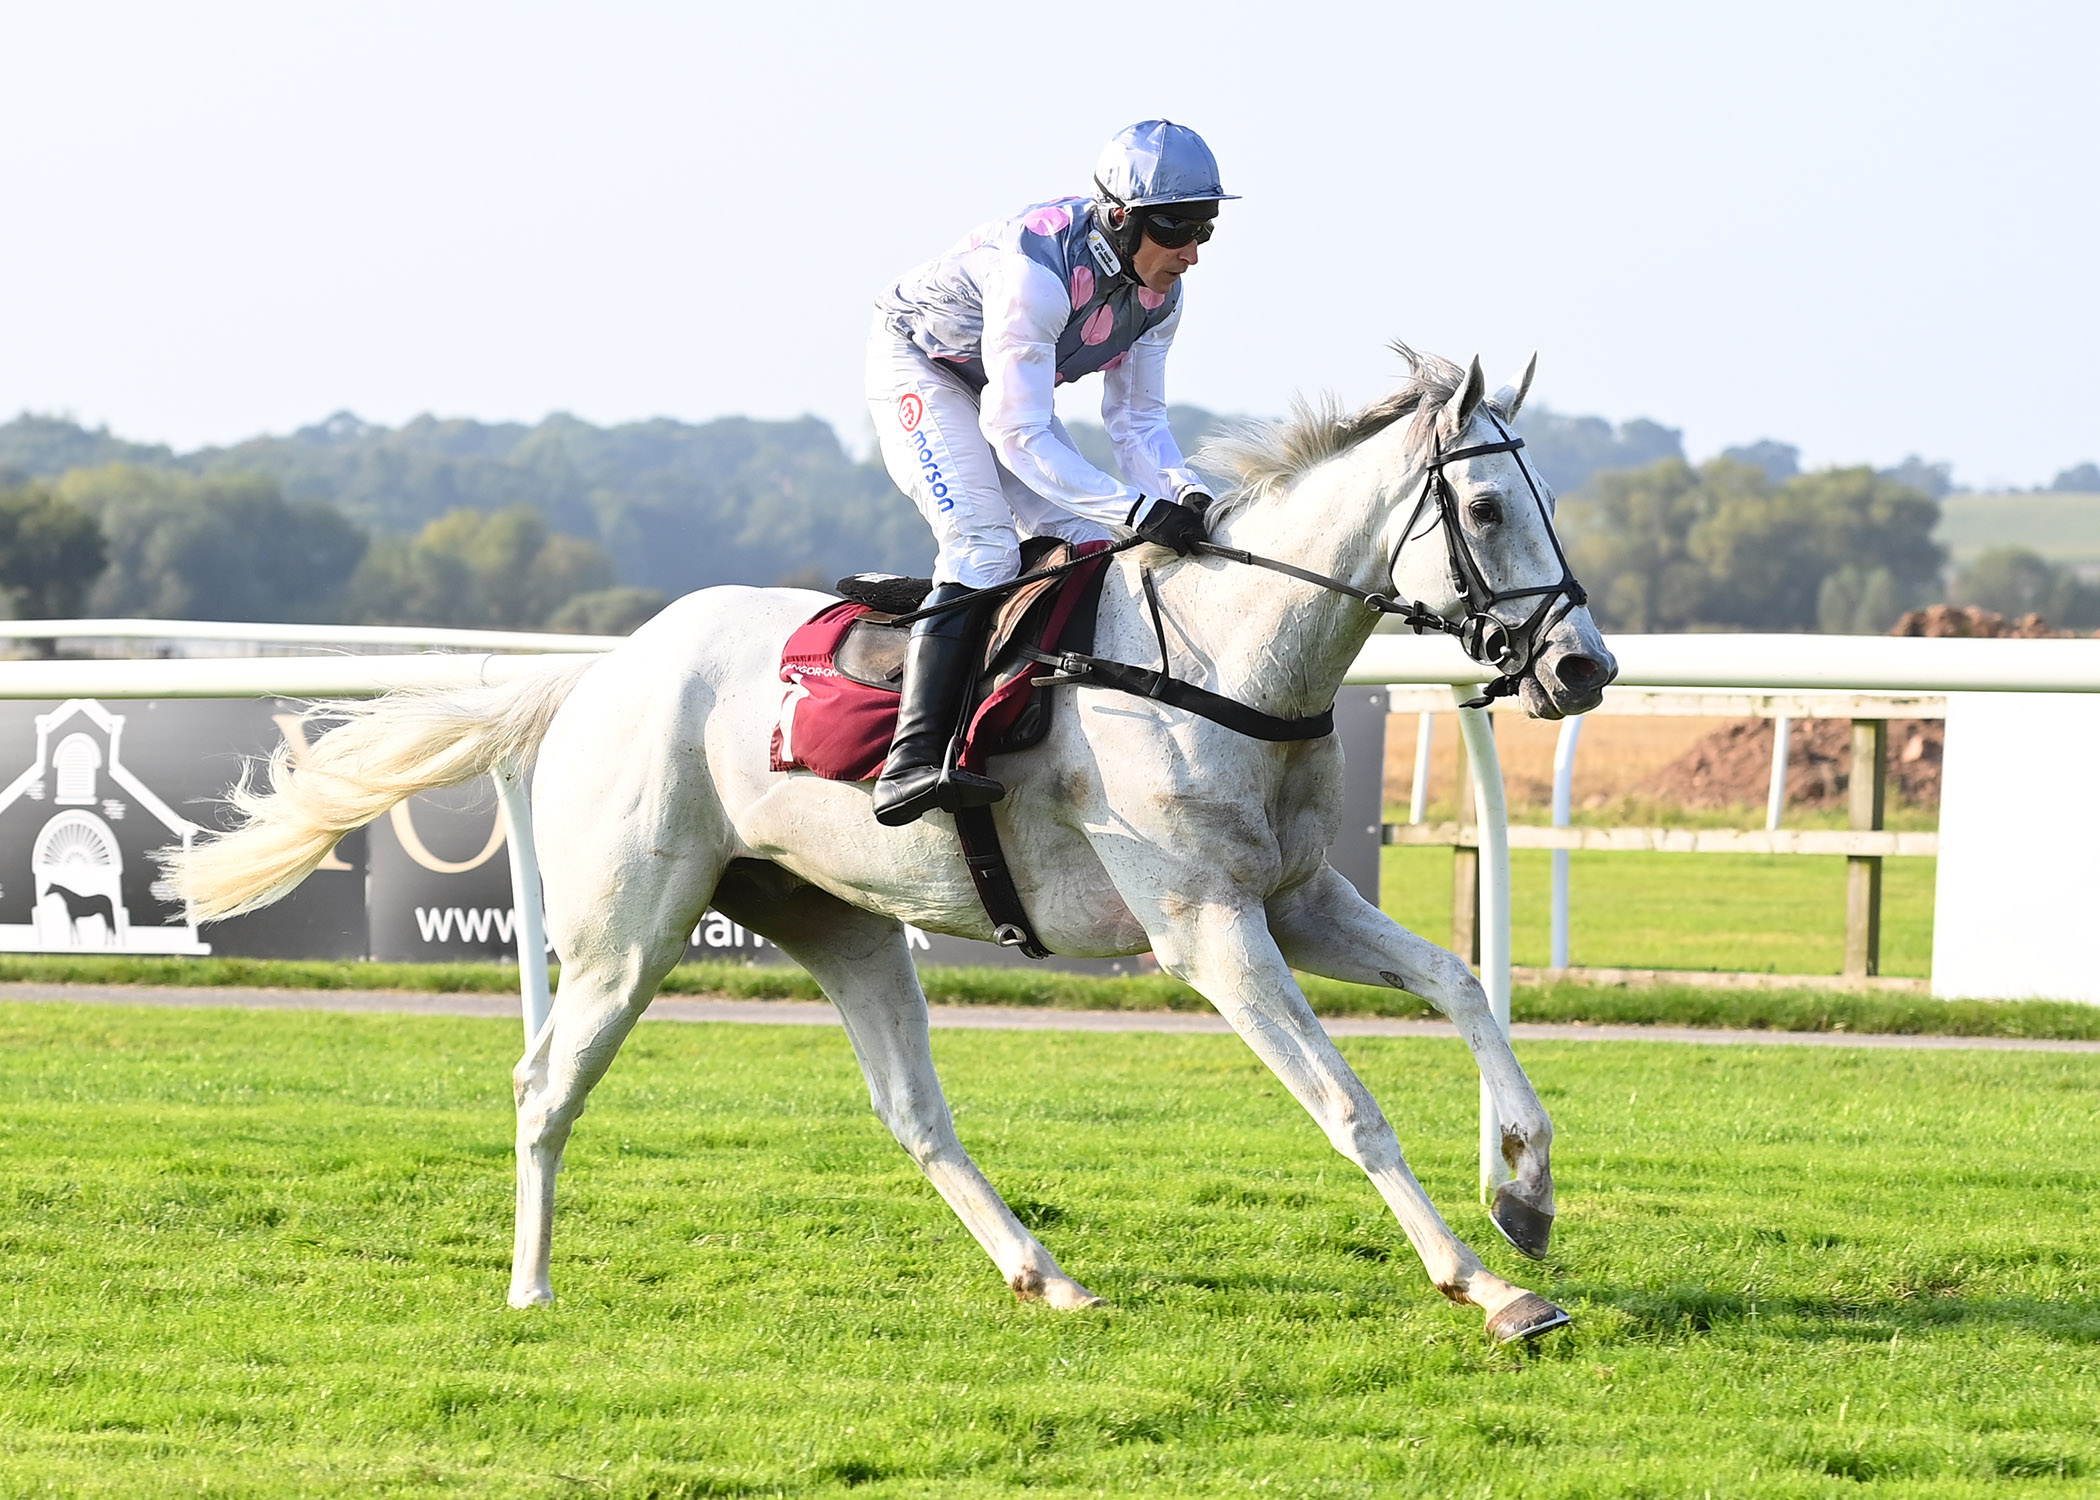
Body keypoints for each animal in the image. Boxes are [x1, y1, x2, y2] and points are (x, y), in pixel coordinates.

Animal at [169, 346, 1618, 1343]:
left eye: (1546, 495)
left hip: (843, 923)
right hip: (627, 931)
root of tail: (592, 678)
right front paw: (1486, 1286)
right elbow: (1349, 1104)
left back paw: (1048, 1276)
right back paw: (529, 1289)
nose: (1584, 666)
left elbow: (1460, 984)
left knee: (912, 1112)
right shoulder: (1207, 928)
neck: (1217, 662)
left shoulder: (1299, 897)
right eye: (1489, 508)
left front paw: (1526, 1192)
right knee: (543, 1084)